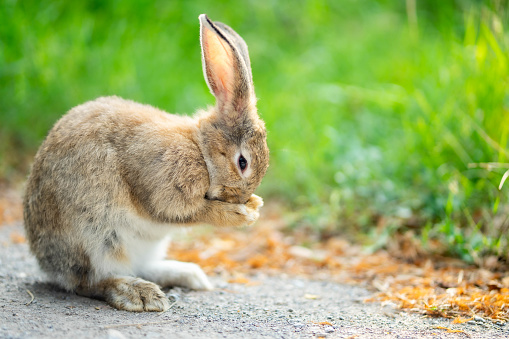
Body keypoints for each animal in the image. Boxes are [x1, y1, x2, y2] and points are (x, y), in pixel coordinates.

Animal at [22, 15, 270, 314]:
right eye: (242, 162)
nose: (240, 197)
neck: (200, 149)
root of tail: (47, 264)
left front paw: (254, 205)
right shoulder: (164, 186)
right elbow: (186, 211)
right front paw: (240, 214)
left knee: (141, 267)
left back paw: (189, 275)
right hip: (97, 240)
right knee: (88, 282)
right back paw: (138, 293)